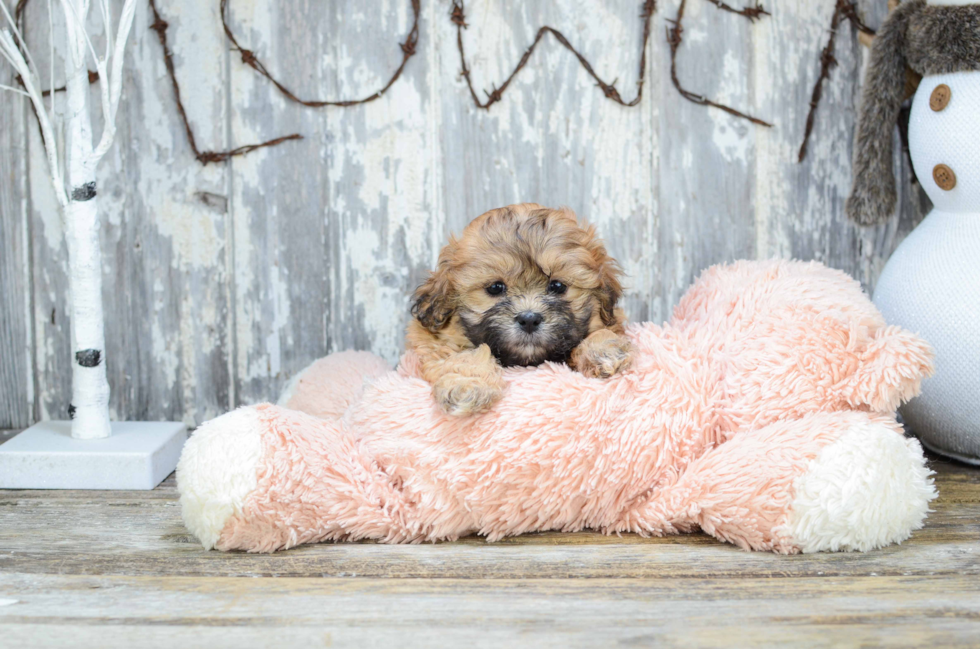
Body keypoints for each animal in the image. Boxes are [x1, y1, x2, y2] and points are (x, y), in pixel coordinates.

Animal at [404, 201, 628, 416]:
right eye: (495, 287)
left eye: (557, 286)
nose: (529, 319)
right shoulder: (437, 343)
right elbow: (465, 357)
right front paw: (468, 386)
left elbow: (600, 333)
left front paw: (603, 351)